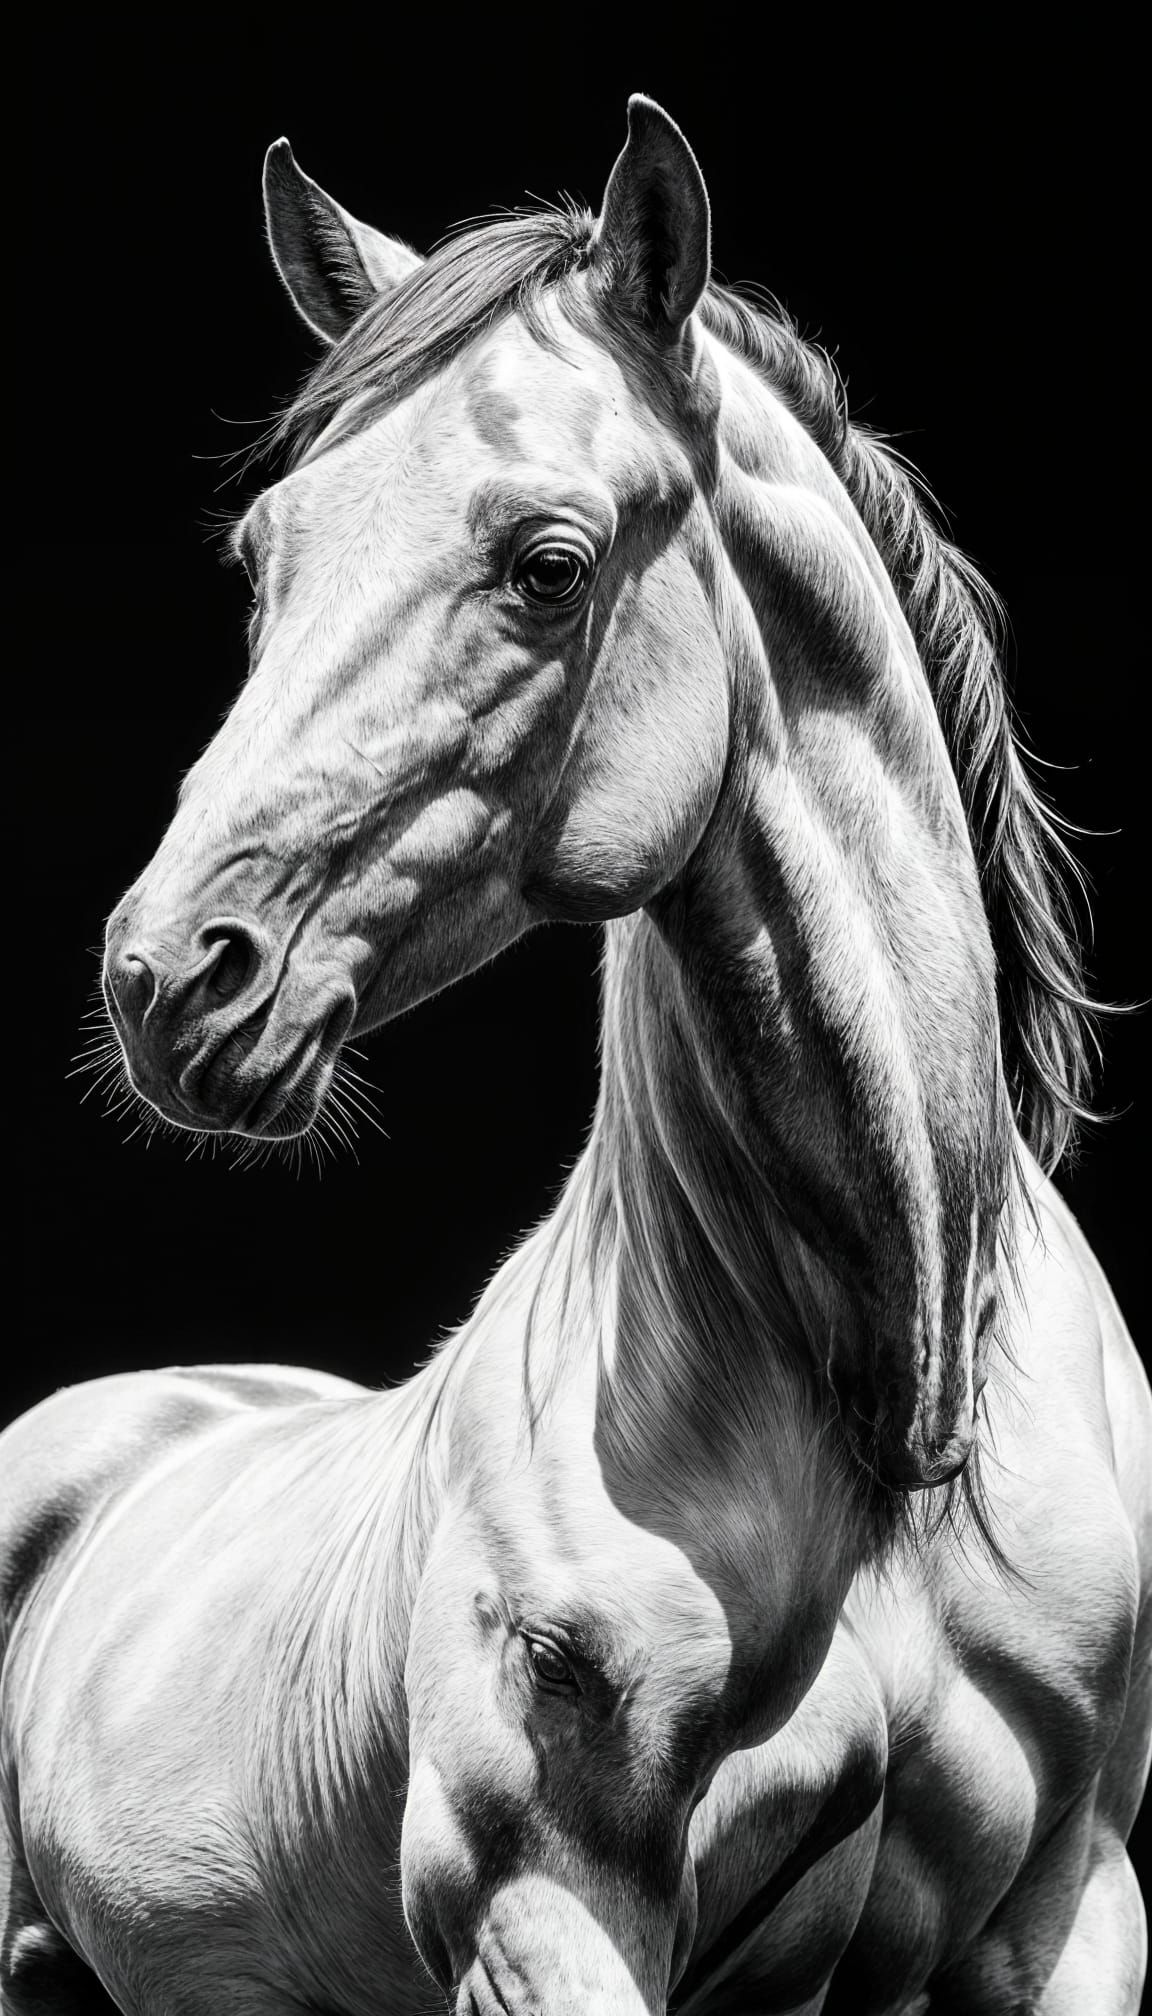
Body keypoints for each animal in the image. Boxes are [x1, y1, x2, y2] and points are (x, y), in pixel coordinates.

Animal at [1, 95, 1147, 2015]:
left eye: (548, 566)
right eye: (268, 555)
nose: (174, 977)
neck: (896, 1428)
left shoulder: (1072, 1921)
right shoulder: (543, 1911)